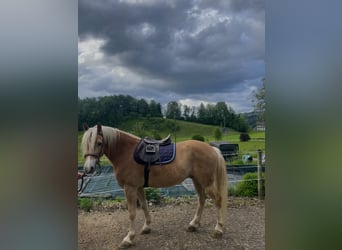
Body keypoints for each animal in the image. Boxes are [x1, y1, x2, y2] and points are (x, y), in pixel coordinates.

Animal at [81, 123, 228, 248]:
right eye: (85, 144)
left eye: (99, 143)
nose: (88, 168)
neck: (127, 152)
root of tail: (212, 149)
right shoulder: (139, 187)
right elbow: (144, 205)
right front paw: (146, 227)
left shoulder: (130, 188)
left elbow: (132, 213)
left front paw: (128, 238)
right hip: (197, 180)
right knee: (202, 199)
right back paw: (194, 225)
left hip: (207, 182)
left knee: (218, 200)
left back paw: (218, 229)